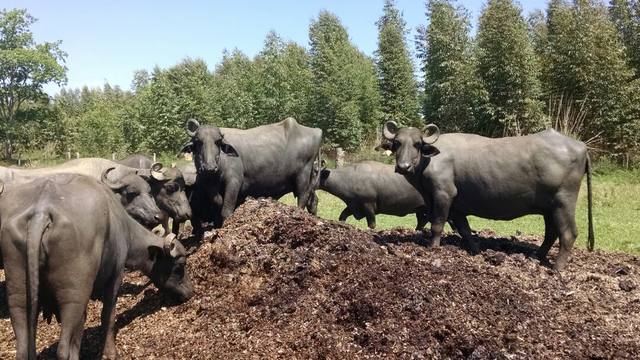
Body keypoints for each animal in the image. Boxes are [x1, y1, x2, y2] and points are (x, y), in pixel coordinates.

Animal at [0, 174, 194, 358]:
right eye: (180, 267)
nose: (190, 292)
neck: (121, 224)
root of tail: (41, 212)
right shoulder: (115, 277)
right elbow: (108, 316)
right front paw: (110, 352)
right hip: (73, 296)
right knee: (63, 349)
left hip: (19, 295)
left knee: (24, 347)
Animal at [181, 116, 322, 236]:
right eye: (198, 142)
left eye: (218, 142)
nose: (209, 167)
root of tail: (317, 132)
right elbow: (216, 208)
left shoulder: (234, 182)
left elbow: (226, 210)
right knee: (313, 200)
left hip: (302, 176)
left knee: (302, 198)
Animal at [380, 121, 596, 270]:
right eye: (397, 143)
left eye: (417, 144)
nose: (403, 166)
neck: (430, 161)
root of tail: (581, 147)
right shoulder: (456, 205)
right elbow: (465, 229)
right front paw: (475, 249)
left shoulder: (443, 195)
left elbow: (437, 225)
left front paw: (432, 248)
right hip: (548, 207)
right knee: (551, 232)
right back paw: (537, 255)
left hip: (563, 203)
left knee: (568, 233)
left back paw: (557, 267)